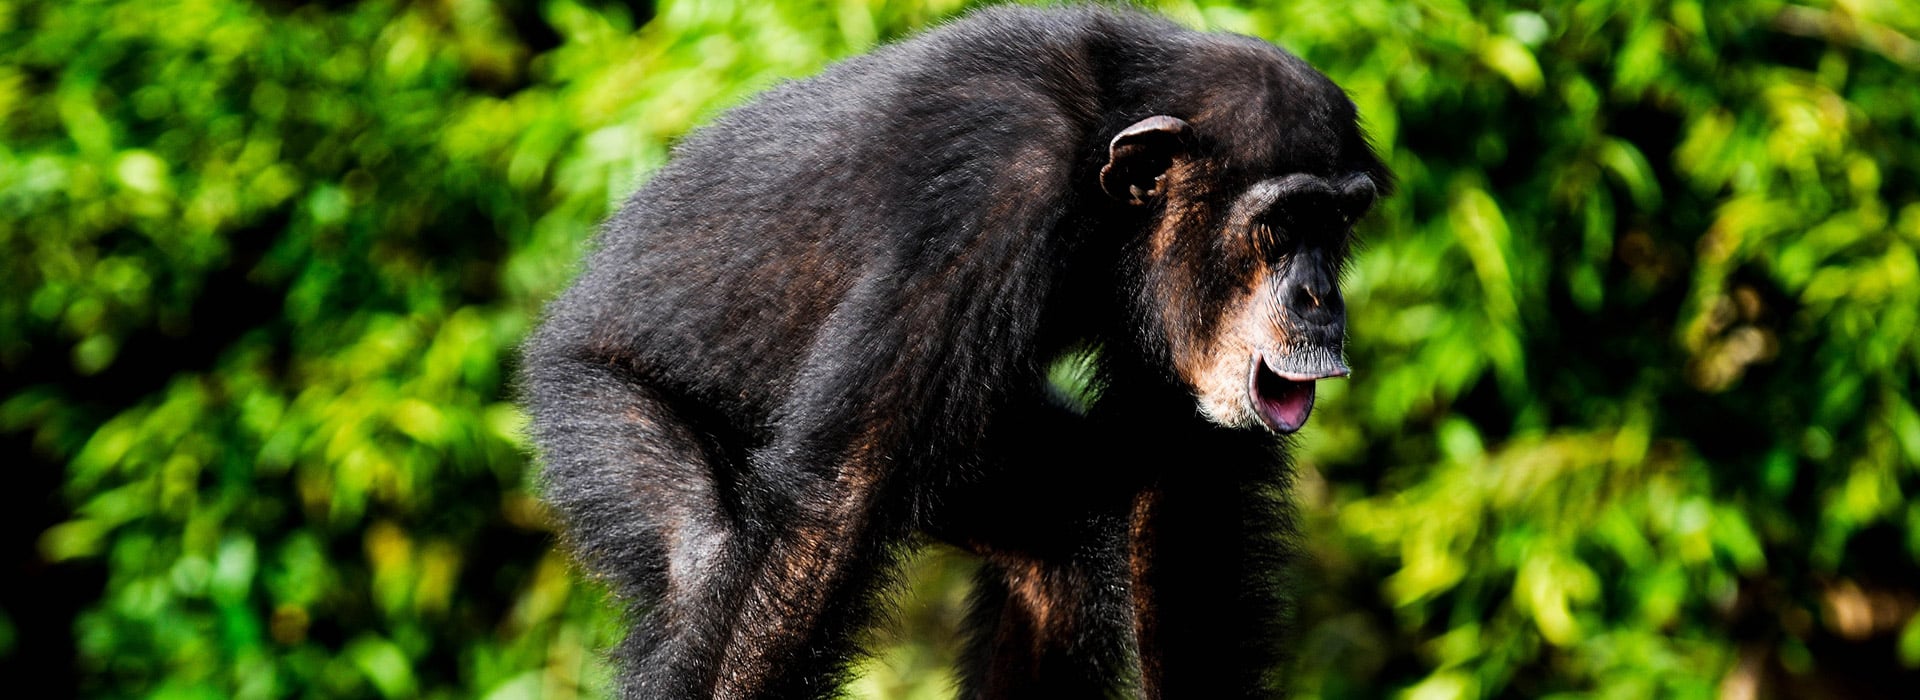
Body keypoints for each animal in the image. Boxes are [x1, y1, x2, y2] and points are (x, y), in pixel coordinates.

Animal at [522, 4, 1397, 694]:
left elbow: (1187, 518)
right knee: (704, 555)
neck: (1101, 173)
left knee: (1058, 554)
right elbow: (832, 508)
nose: (1321, 297)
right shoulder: (988, 196)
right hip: (590, 405)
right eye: (1282, 223)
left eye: (1338, 222)